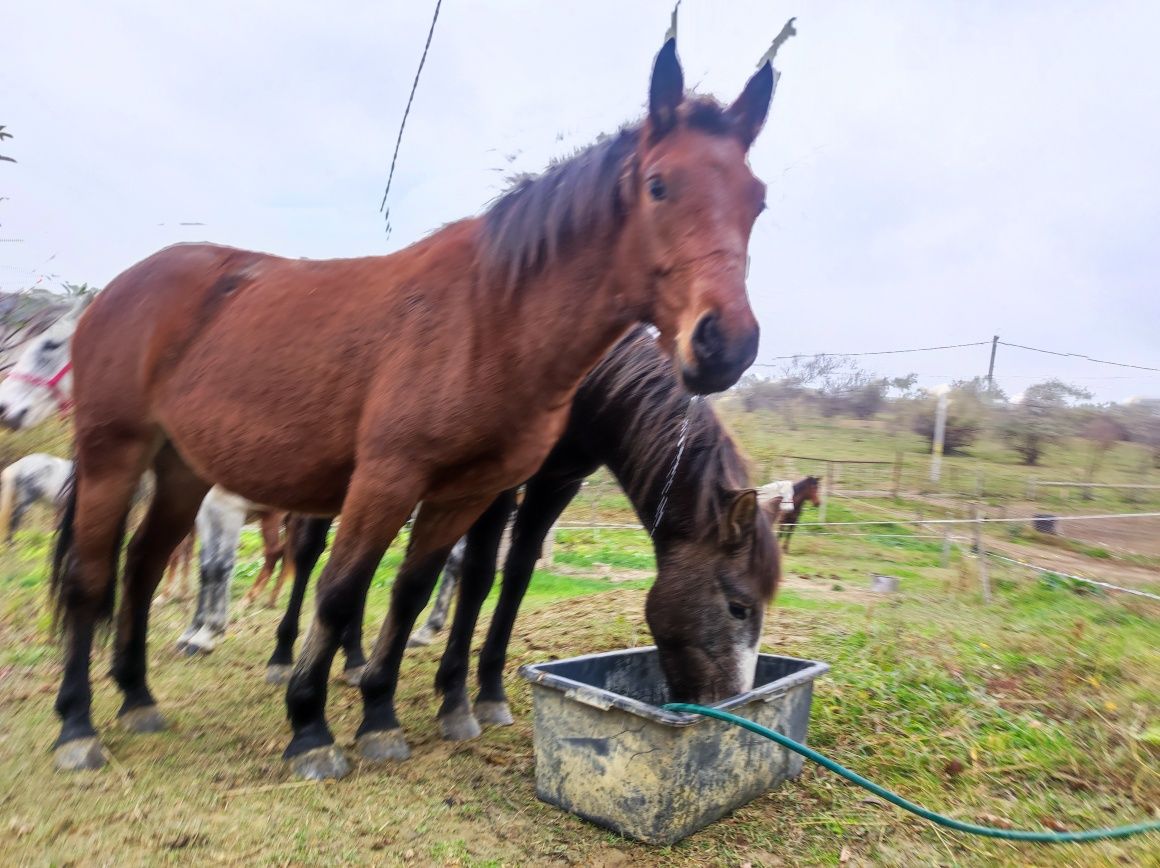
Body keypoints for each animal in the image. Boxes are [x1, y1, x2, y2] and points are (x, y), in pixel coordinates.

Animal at [56, 35, 779, 779]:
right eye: (660, 184)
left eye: (756, 202)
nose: (726, 342)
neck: (488, 317)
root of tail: (117, 289)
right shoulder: (388, 480)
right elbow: (344, 590)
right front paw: (312, 726)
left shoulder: (472, 491)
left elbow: (414, 589)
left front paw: (383, 712)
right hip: (114, 456)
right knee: (92, 575)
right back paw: (78, 725)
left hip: (181, 469)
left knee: (142, 566)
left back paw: (137, 696)